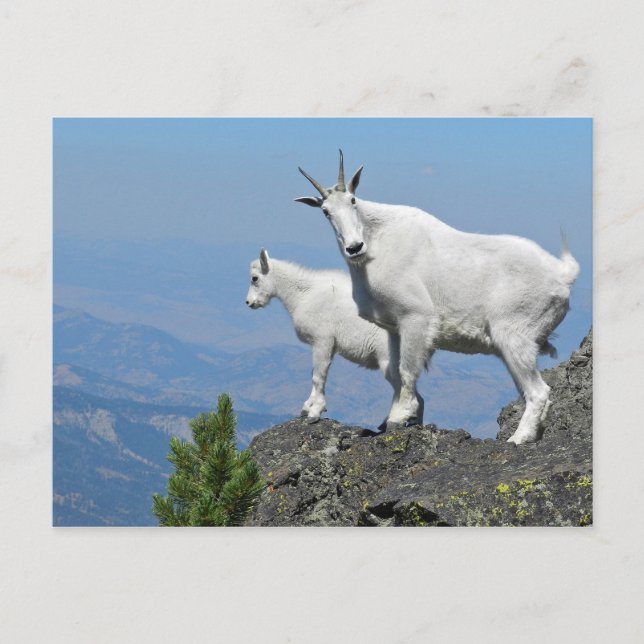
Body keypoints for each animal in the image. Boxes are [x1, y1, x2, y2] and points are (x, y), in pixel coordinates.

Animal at [245, 249, 418, 426]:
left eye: (255, 278)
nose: (249, 302)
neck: (302, 295)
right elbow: (314, 374)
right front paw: (307, 407)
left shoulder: (323, 341)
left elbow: (318, 376)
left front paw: (315, 412)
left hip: (387, 358)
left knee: (405, 389)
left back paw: (396, 419)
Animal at [295, 151, 579, 445]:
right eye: (326, 211)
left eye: (353, 200)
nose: (354, 247)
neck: (376, 245)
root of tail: (562, 275)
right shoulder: (393, 327)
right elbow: (396, 370)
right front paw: (394, 417)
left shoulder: (415, 316)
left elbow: (407, 369)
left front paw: (400, 417)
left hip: (514, 334)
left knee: (538, 391)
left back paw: (517, 439)